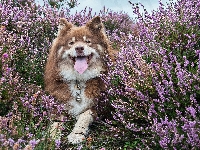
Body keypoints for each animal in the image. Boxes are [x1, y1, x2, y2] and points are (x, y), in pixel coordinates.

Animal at [44, 15, 115, 144]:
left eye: (88, 41)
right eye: (71, 43)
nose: (79, 48)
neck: (79, 80)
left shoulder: (98, 105)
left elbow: (84, 115)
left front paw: (76, 134)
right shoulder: (61, 103)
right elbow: (56, 121)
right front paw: (52, 135)